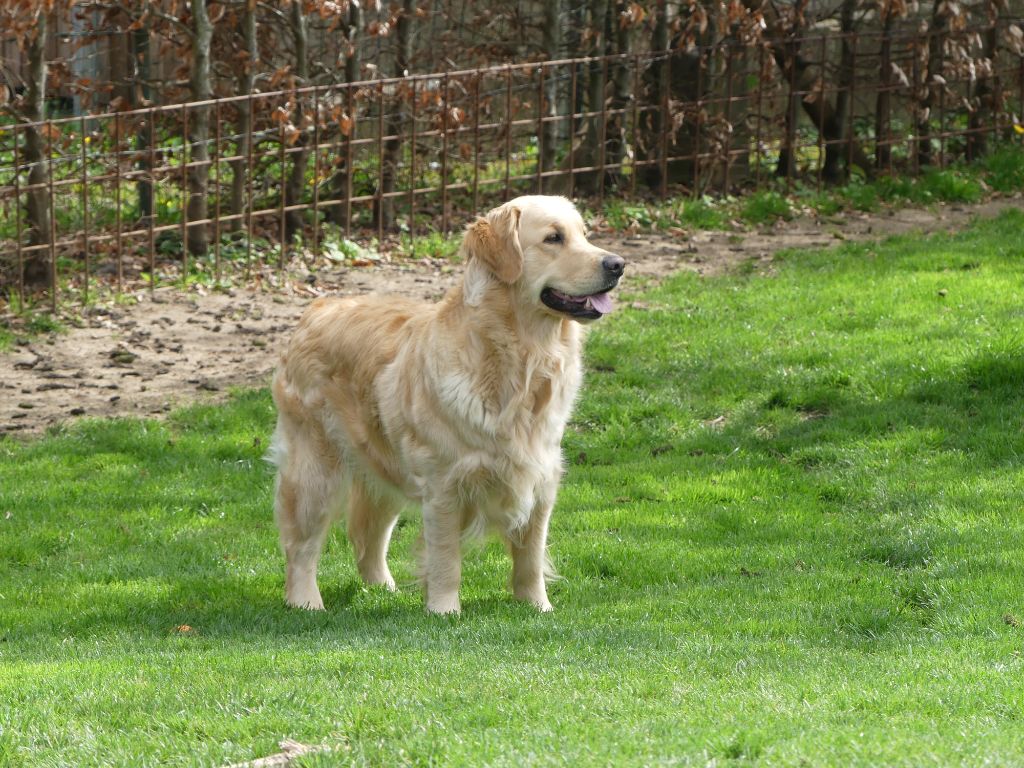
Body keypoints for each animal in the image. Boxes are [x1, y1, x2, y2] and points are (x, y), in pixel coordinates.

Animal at [270, 195, 622, 618]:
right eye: (554, 238)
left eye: (584, 235)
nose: (618, 264)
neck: (519, 360)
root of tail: (317, 308)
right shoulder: (444, 485)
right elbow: (445, 558)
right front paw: (444, 611)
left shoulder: (541, 478)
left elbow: (531, 557)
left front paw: (538, 607)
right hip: (315, 470)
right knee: (300, 545)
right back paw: (305, 601)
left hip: (386, 466)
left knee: (368, 534)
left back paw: (383, 589)